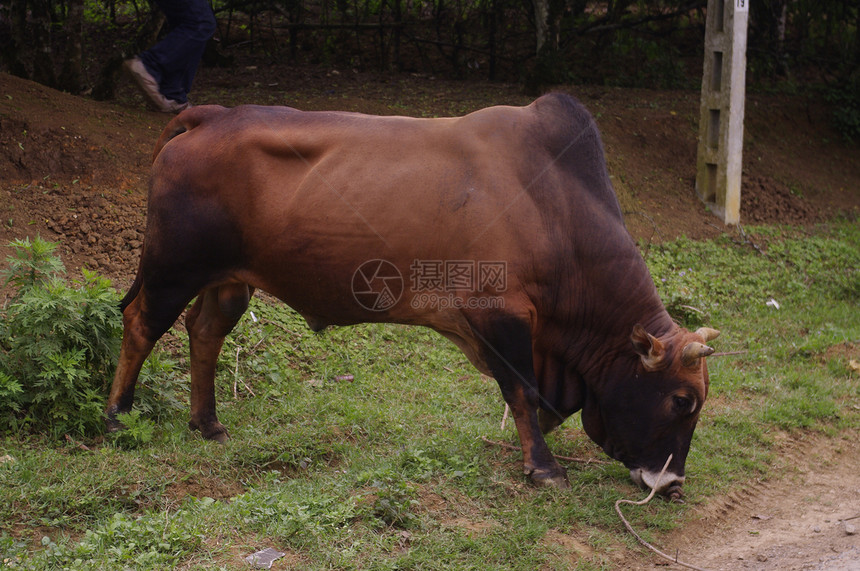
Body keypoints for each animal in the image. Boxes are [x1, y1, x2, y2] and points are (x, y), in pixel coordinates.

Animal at [111, 92, 724, 496]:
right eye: (681, 400)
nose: (671, 483)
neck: (556, 208)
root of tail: (210, 116)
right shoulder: (501, 314)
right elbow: (523, 392)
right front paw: (544, 468)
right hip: (172, 267)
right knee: (140, 321)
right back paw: (118, 417)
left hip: (228, 280)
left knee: (204, 331)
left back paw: (207, 422)